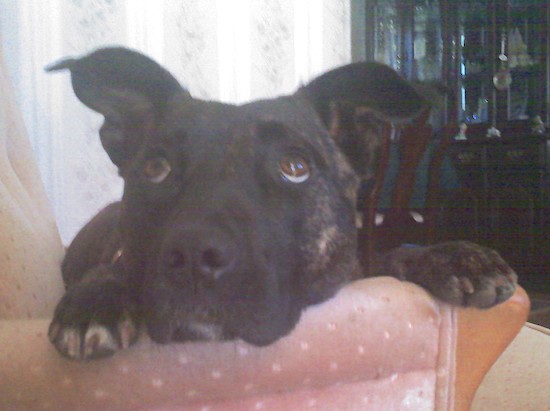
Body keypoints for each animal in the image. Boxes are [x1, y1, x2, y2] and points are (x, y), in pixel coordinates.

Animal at [45, 47, 520, 360]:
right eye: (156, 168)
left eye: (295, 166)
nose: (196, 254)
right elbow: (116, 267)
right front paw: (97, 298)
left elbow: (390, 256)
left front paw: (456, 257)